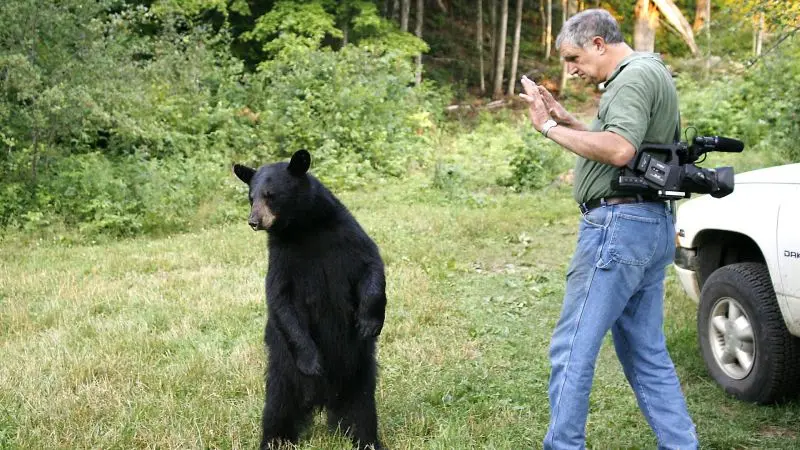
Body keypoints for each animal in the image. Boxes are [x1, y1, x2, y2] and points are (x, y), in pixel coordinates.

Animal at [233, 150, 387, 450]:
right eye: (250, 197)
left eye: (270, 195)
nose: (253, 221)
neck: (304, 229)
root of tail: (323, 398)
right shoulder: (282, 259)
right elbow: (280, 300)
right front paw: (312, 361)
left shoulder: (346, 235)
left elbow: (372, 265)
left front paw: (369, 323)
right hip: (283, 371)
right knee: (277, 408)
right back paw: (273, 441)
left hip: (359, 368)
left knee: (361, 408)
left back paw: (366, 440)